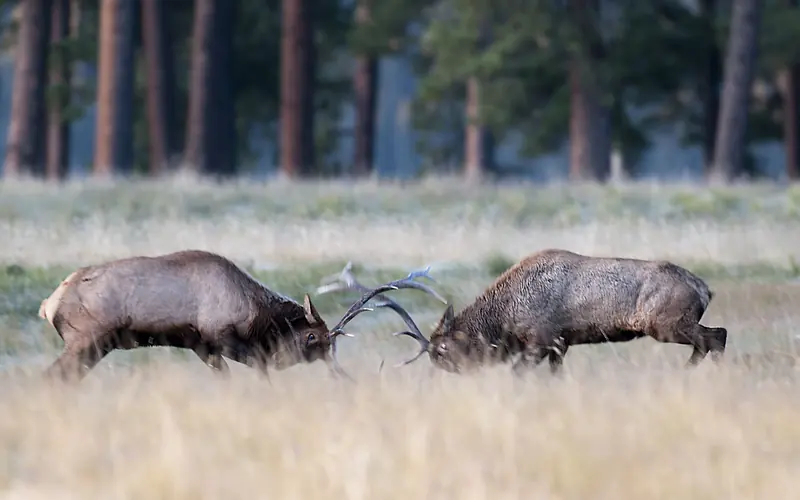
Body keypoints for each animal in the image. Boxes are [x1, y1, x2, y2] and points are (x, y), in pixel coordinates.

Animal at [37, 249, 446, 383]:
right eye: (312, 336)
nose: (340, 373)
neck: (256, 314)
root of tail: (48, 304)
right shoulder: (221, 338)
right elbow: (259, 371)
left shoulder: (202, 346)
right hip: (87, 340)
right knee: (53, 376)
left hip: (96, 347)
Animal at [318, 249, 728, 376]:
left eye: (445, 349)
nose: (452, 374)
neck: (506, 318)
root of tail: (704, 288)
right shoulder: (560, 345)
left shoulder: (542, 340)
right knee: (713, 337)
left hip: (667, 323)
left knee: (716, 336)